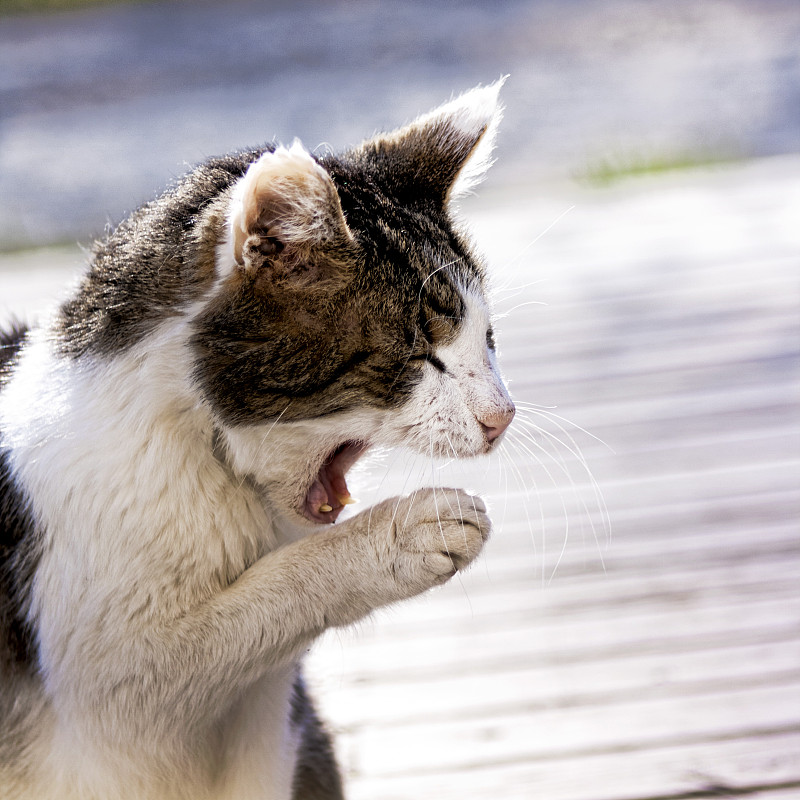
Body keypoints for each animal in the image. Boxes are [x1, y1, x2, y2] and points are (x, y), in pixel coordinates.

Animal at [0, 81, 512, 800]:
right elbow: (255, 604)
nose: (504, 415)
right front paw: (403, 535)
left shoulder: (274, 730)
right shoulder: (101, 685)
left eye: (487, 341)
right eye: (421, 357)